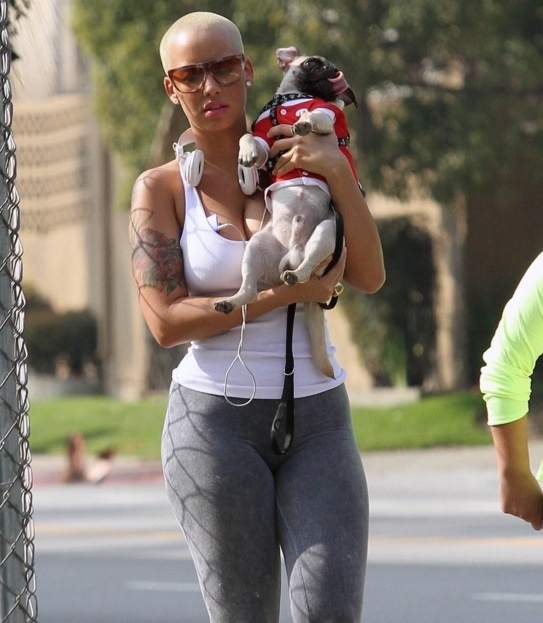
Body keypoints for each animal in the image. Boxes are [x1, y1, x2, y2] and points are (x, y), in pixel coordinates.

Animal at [215, 46, 360, 378]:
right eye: (312, 63)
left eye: (333, 69)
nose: (333, 71)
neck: (296, 97)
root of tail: (290, 255)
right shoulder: (264, 140)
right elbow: (249, 139)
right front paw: (246, 154)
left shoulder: (327, 117)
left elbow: (315, 114)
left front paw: (304, 121)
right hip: (255, 248)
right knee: (249, 291)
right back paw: (231, 301)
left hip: (327, 233)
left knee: (306, 268)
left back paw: (297, 274)